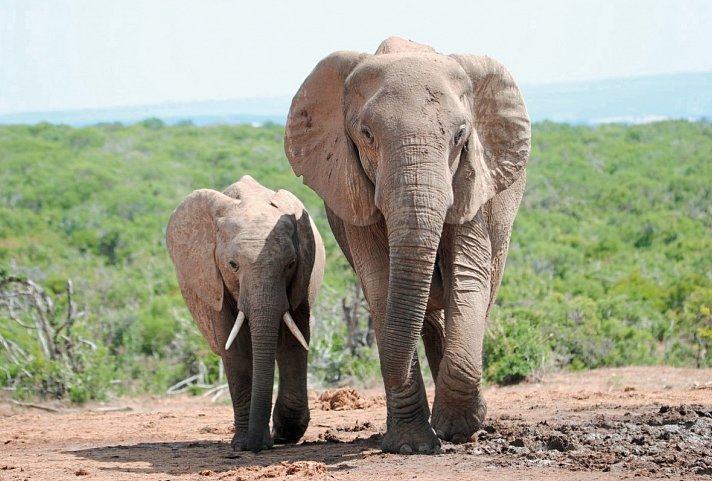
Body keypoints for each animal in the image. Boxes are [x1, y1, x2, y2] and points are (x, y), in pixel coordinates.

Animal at [166, 175, 325, 452]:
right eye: (233, 265)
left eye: (291, 264)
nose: (257, 445)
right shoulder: (213, 282)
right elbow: (235, 348)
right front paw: (242, 445)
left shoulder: (302, 276)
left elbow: (294, 340)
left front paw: (284, 434)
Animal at [284, 37, 530, 454]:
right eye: (366, 134)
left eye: (460, 135)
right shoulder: (353, 194)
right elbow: (381, 285)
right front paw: (413, 445)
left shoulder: (472, 184)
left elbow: (468, 276)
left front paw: (457, 430)